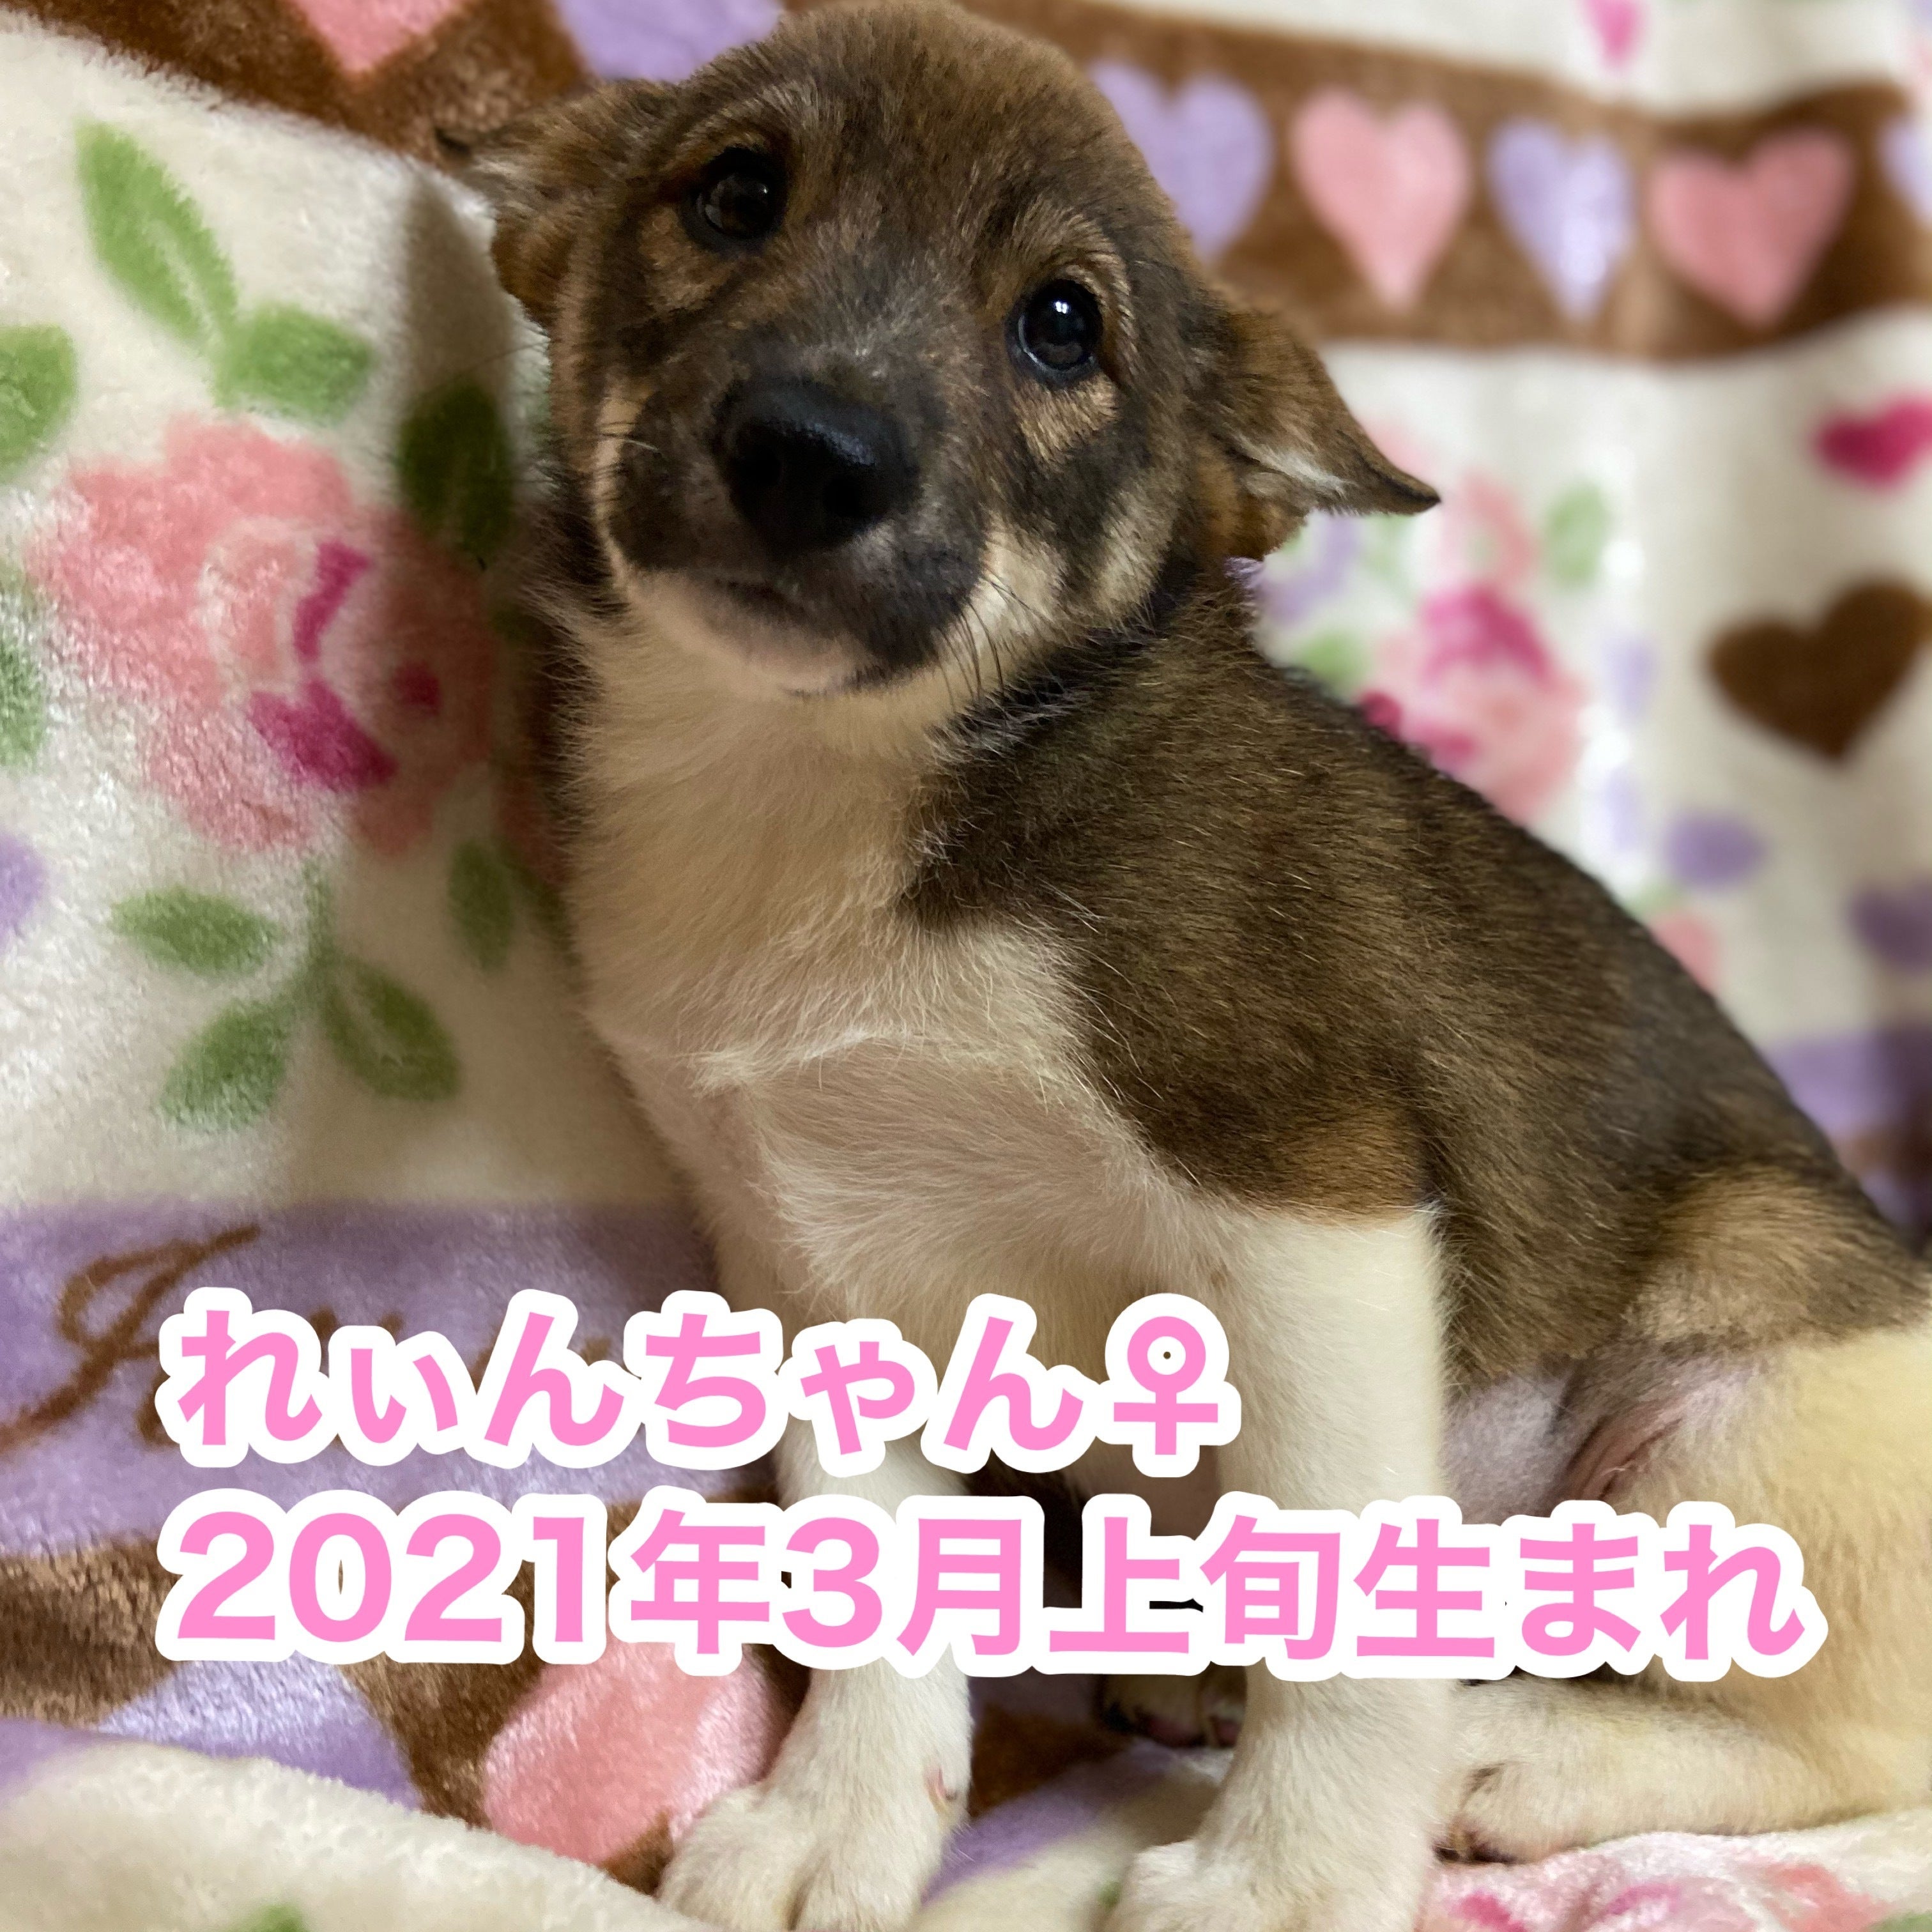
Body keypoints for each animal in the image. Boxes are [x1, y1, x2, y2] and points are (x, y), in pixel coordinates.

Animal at [471, 4, 1932, 1927]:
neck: (836, 789)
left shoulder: (1315, 1204)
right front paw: (840, 1819)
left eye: (1061, 324)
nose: (810, 454)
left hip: (1747, 1397)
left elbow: (1350, 1612)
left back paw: (1523, 1752)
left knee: (1861, 1752)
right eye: (732, 196)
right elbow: (873, 1587)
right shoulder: (813, 1260)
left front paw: (1287, 1875)